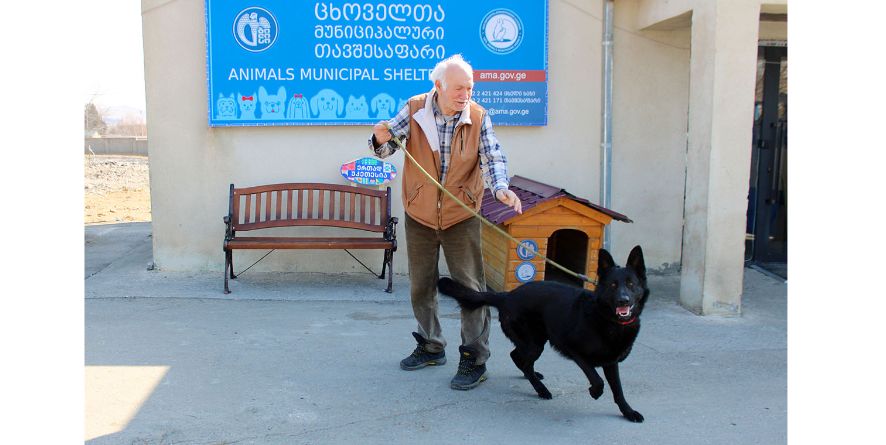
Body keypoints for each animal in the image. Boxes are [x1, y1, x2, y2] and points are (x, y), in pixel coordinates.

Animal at [438, 245, 652, 422]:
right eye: (613, 285)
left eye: (631, 284)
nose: (623, 301)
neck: (607, 319)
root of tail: (507, 296)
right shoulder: (575, 351)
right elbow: (597, 379)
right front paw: (595, 392)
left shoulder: (611, 362)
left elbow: (618, 390)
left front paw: (628, 412)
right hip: (534, 343)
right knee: (523, 361)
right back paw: (541, 389)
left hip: (535, 341)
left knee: (518, 358)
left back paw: (534, 377)